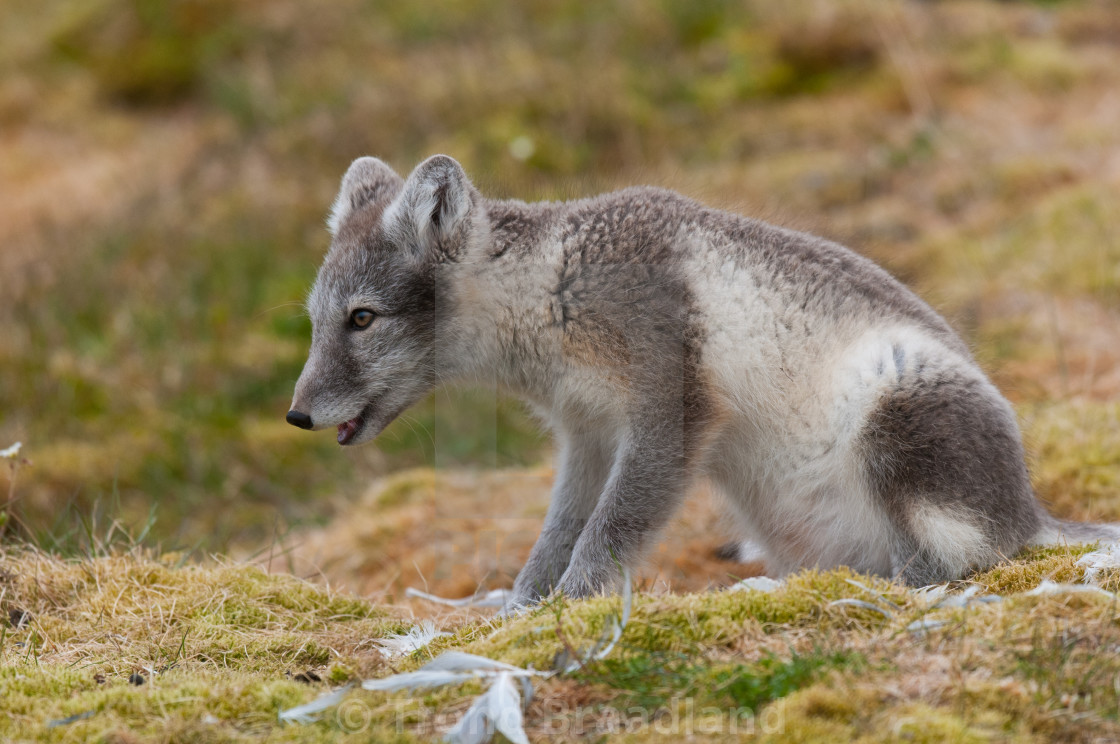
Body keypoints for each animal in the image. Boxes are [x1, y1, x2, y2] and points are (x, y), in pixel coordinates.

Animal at [286, 153, 1111, 600]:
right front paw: (522, 609)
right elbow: (558, 532)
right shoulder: (587, 434)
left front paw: (571, 610)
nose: (296, 417)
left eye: (362, 318)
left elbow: (608, 533)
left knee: (951, 564)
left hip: (896, 411)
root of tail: (1030, 508)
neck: (552, 293)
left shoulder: (670, 410)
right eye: (316, 317)